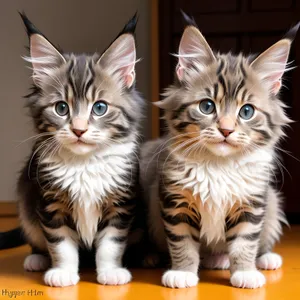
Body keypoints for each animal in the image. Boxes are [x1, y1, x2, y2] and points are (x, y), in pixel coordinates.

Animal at [16, 12, 143, 288]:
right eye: (61, 108)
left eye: (100, 108)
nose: (78, 130)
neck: (84, 163)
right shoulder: (51, 204)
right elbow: (61, 244)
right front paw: (62, 273)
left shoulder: (119, 204)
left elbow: (110, 245)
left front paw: (111, 272)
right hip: (26, 200)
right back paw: (36, 259)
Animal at [140, 15, 298, 290]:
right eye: (207, 106)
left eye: (247, 111)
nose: (226, 129)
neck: (218, 165)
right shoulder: (175, 202)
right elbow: (183, 244)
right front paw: (182, 273)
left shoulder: (251, 202)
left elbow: (245, 243)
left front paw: (245, 272)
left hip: (273, 202)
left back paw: (259, 258)